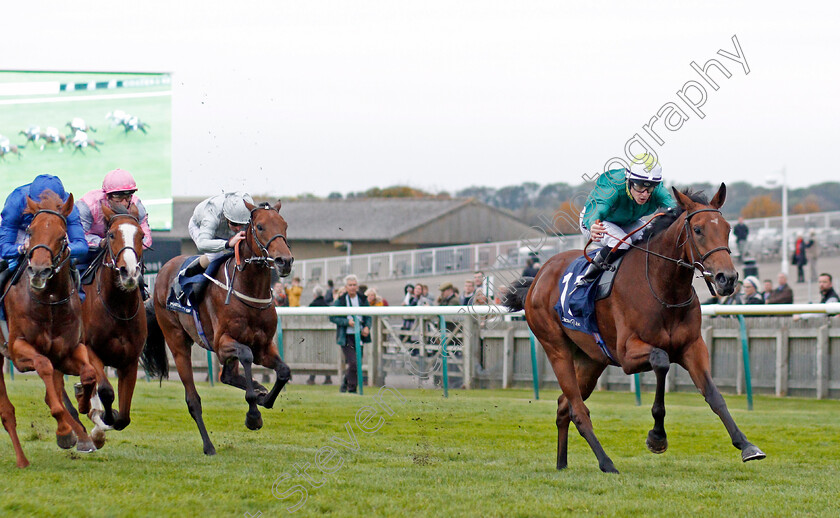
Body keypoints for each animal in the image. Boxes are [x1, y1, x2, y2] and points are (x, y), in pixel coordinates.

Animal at [0, 193, 96, 470]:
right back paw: (22, 460)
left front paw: (83, 401)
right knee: (7, 411)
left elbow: (89, 373)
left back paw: (81, 435)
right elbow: (43, 367)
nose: (39, 271)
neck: (49, 301)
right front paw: (63, 431)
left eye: (62, 236)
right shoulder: (18, 350)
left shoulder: (68, 351)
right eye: (30, 231)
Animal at [76, 202, 147, 446]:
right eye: (111, 234)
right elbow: (106, 391)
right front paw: (103, 418)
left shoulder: (130, 360)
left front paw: (107, 420)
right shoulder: (90, 349)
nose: (129, 272)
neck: (118, 308)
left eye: (141, 235)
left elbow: (124, 417)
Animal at [146, 201, 296, 458]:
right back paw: (209, 446)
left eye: (284, 225)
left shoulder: (264, 346)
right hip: (177, 342)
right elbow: (246, 355)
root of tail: (164, 270)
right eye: (260, 226)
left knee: (227, 376)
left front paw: (263, 398)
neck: (249, 290)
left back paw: (258, 388)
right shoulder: (221, 343)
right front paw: (253, 415)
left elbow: (284, 371)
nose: (284, 261)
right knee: (193, 399)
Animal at [506, 186, 768, 476]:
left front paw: (746, 445)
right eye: (698, 229)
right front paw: (657, 437)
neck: (664, 288)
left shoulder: (692, 347)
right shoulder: (627, 355)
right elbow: (661, 361)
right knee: (578, 410)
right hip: (557, 349)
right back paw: (607, 463)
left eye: (727, 228)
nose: (727, 278)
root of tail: (537, 278)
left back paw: (562, 464)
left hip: (591, 360)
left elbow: (714, 396)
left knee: (565, 406)